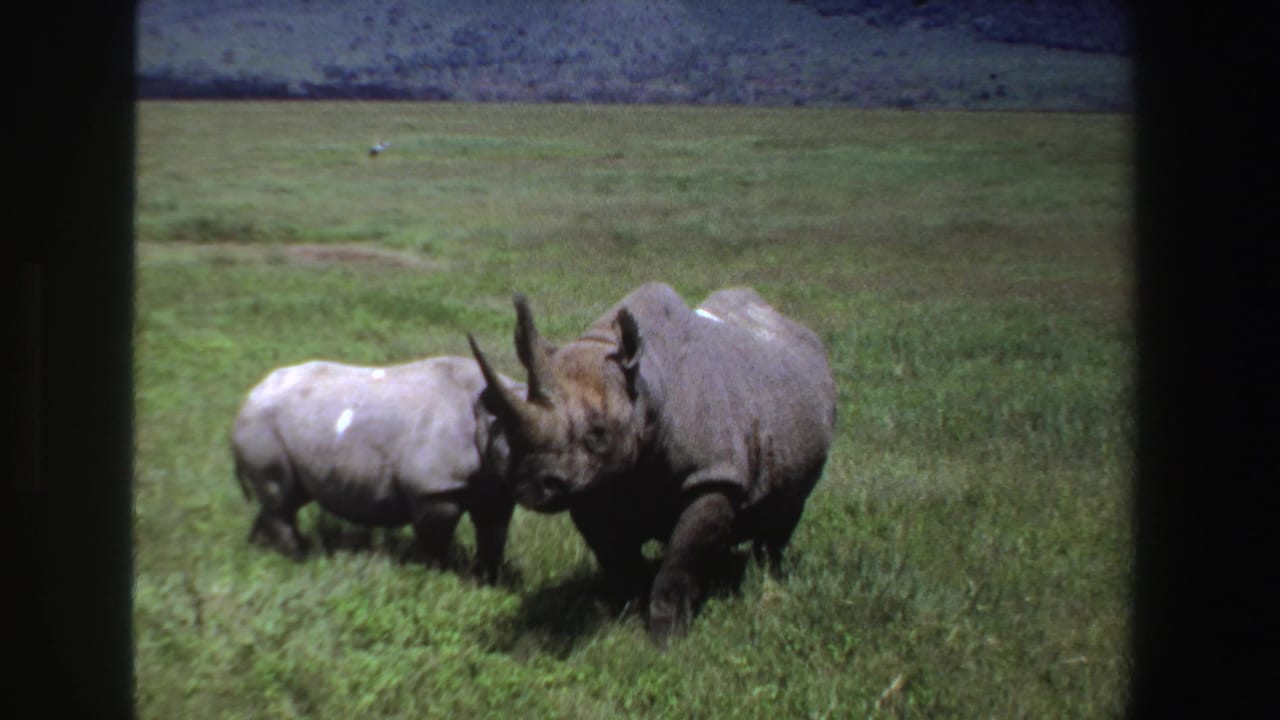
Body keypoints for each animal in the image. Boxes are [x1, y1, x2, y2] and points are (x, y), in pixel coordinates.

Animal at [231, 356, 524, 583]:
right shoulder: (435, 489)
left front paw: (487, 582)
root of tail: (248, 397)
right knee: (281, 500)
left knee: (288, 498)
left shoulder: (494, 483)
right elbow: (436, 546)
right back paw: (297, 560)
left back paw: (261, 553)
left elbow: (493, 534)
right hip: (260, 425)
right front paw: (437, 581)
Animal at [467, 282, 836, 642]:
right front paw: (628, 614)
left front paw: (666, 637)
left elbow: (681, 558)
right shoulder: (592, 484)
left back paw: (768, 577)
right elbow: (616, 556)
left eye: (599, 433)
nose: (531, 486)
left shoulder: (713, 475)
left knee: (787, 510)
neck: (644, 389)